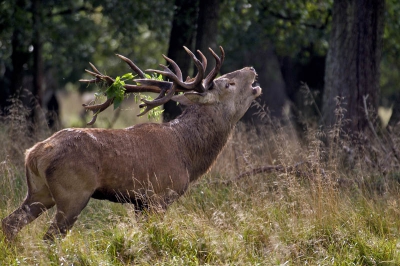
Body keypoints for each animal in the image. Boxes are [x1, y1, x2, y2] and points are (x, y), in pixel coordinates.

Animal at [1, 45, 262, 241]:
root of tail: (33, 154)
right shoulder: (160, 195)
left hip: (39, 191)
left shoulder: (140, 203)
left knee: (10, 223)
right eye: (227, 83)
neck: (188, 155)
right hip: (72, 193)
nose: (251, 68)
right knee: (51, 236)